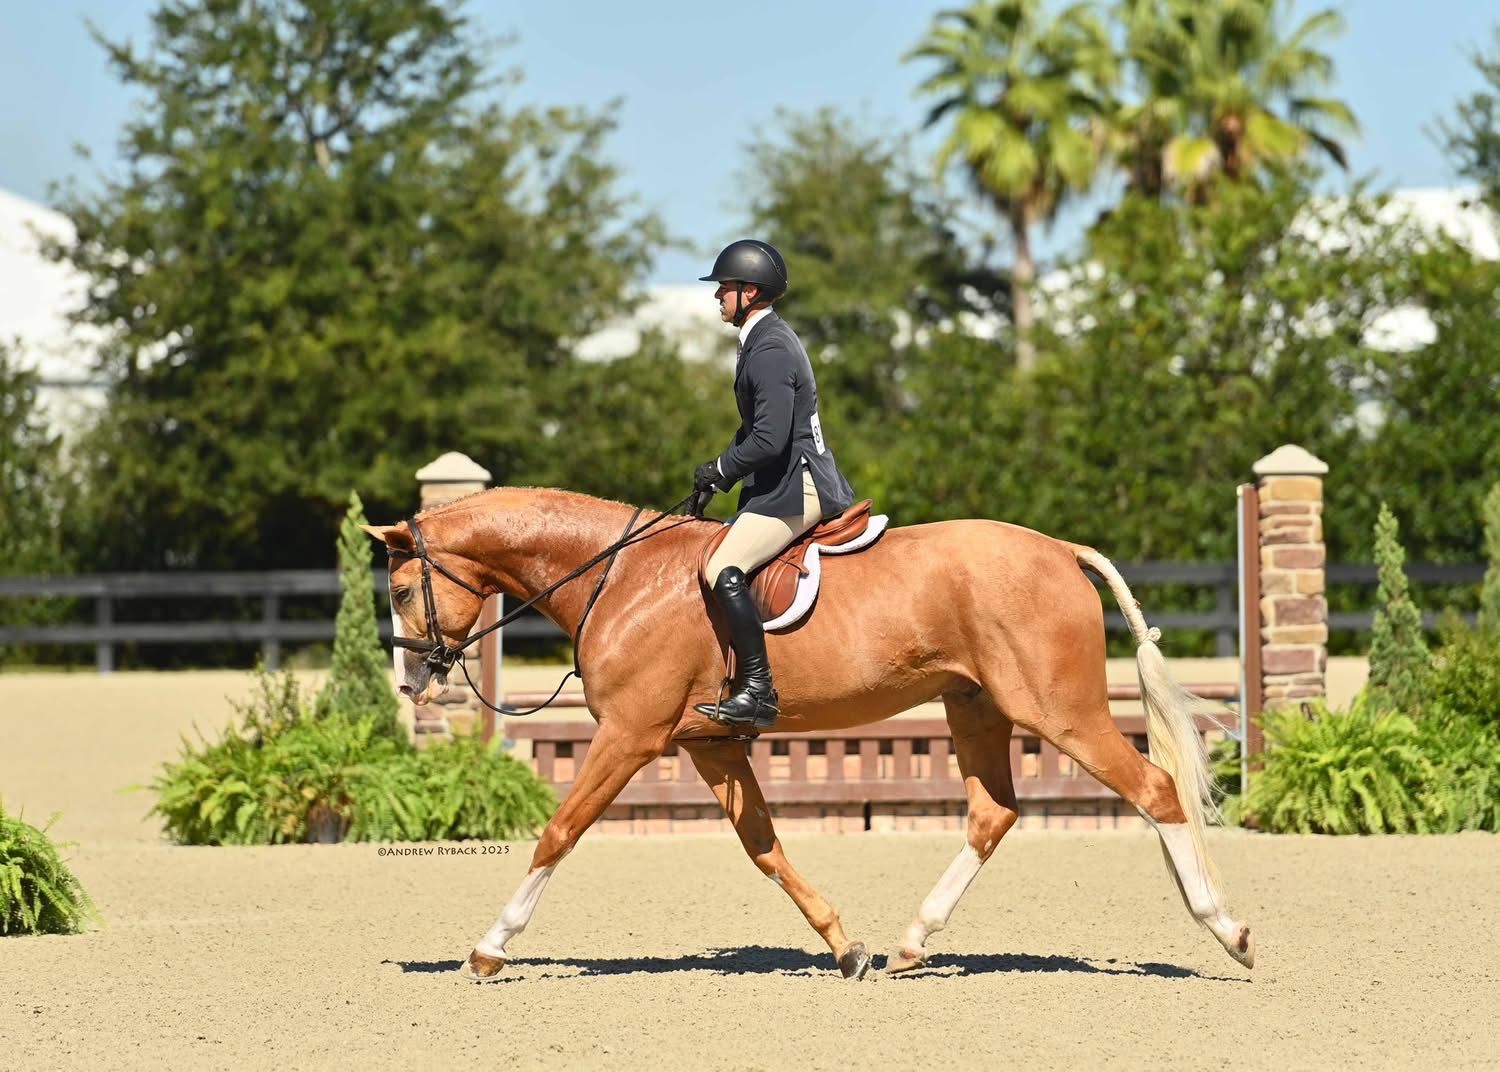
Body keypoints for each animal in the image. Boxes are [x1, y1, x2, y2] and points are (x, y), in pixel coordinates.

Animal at [365, 486, 1255, 982]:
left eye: (404, 590)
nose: (411, 683)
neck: (618, 576)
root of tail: (1060, 551)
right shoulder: (711, 745)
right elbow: (763, 847)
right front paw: (844, 947)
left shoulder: (630, 735)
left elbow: (559, 832)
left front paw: (489, 949)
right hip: (976, 707)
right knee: (993, 813)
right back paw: (910, 945)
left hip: (1057, 712)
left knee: (1154, 791)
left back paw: (1228, 930)